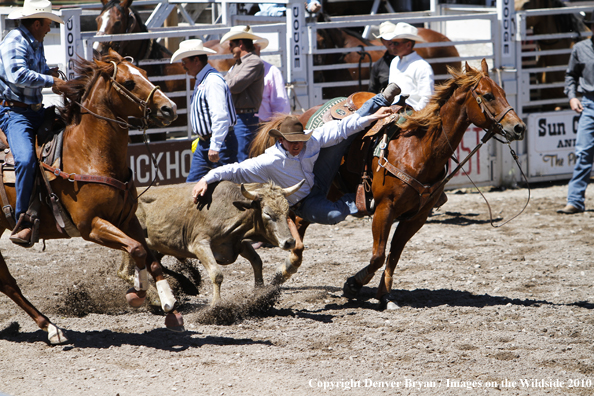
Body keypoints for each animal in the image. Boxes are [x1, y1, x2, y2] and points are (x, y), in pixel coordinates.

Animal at [0, 51, 178, 344]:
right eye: (129, 83)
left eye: (145, 74)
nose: (170, 108)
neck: (89, 155)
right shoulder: (90, 226)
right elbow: (137, 249)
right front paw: (138, 291)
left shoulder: (127, 219)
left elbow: (149, 254)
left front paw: (169, 304)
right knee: (7, 281)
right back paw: (52, 329)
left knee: (6, 281)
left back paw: (51, 327)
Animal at [249, 58, 524, 308]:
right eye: (488, 95)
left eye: (503, 92)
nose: (518, 127)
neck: (419, 148)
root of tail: (300, 116)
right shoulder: (384, 208)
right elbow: (379, 255)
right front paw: (353, 285)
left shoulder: (417, 217)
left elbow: (394, 255)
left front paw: (385, 296)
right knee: (295, 219)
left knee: (300, 219)